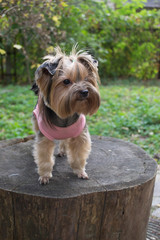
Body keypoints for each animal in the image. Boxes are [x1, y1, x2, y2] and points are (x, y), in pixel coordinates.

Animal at [31, 46, 100, 185]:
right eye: (66, 81)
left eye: (86, 79)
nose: (85, 91)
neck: (65, 116)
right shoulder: (43, 138)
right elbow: (44, 157)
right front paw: (45, 175)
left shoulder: (80, 135)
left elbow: (78, 155)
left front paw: (80, 171)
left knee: (64, 140)